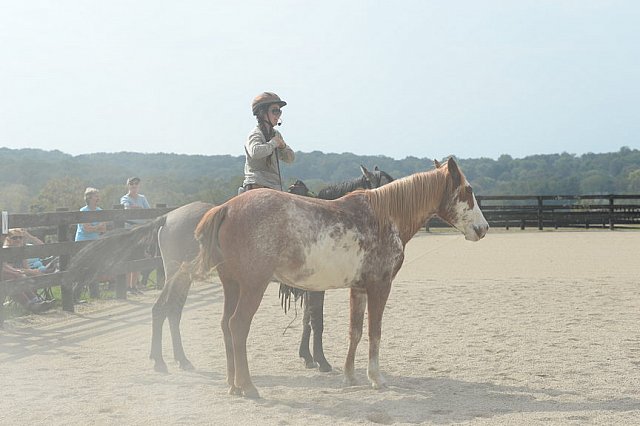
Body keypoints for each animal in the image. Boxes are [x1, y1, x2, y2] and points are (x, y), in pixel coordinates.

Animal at [67, 166, 392, 372]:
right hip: (177, 275)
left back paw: (180, 359)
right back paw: (161, 362)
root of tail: (168, 217)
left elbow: (307, 322)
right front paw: (321, 361)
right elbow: (316, 321)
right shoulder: (316, 287)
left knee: (173, 312)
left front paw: (308, 357)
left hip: (184, 278)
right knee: (161, 310)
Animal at [195, 157, 490, 400]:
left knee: (225, 325)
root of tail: (227, 208)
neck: (384, 216)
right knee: (238, 326)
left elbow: (355, 331)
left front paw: (350, 375)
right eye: (468, 190)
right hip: (252, 286)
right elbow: (374, 331)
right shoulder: (380, 286)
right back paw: (248, 386)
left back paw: (233, 385)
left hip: (232, 286)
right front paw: (376, 378)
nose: (483, 228)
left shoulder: (359, 289)